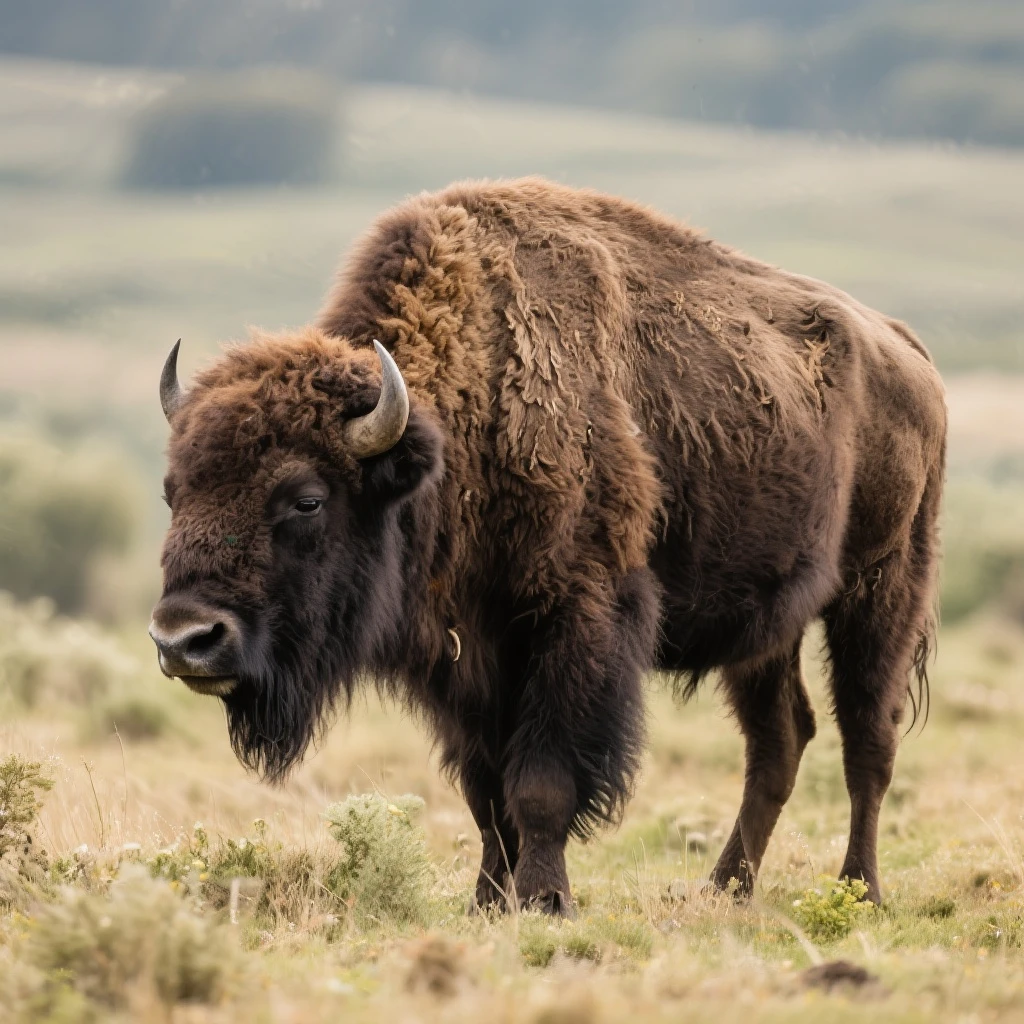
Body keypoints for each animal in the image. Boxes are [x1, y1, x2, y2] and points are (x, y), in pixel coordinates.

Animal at [150, 177, 946, 913]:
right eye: (172, 491)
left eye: (306, 499)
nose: (184, 639)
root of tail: (908, 352)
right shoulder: (466, 656)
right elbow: (485, 792)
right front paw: (484, 901)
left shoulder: (573, 622)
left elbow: (540, 784)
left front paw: (543, 899)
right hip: (767, 626)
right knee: (779, 741)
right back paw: (725, 889)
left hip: (883, 588)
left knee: (868, 740)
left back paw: (860, 889)